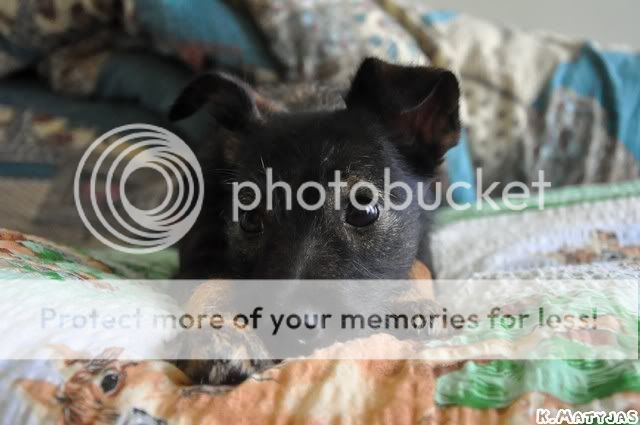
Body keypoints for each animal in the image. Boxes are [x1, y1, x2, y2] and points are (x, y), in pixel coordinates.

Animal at [168, 57, 461, 384]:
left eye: (363, 212)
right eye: (249, 219)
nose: (288, 326)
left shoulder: (424, 240)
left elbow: (419, 266)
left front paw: (410, 301)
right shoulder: (198, 251)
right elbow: (214, 282)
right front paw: (222, 335)